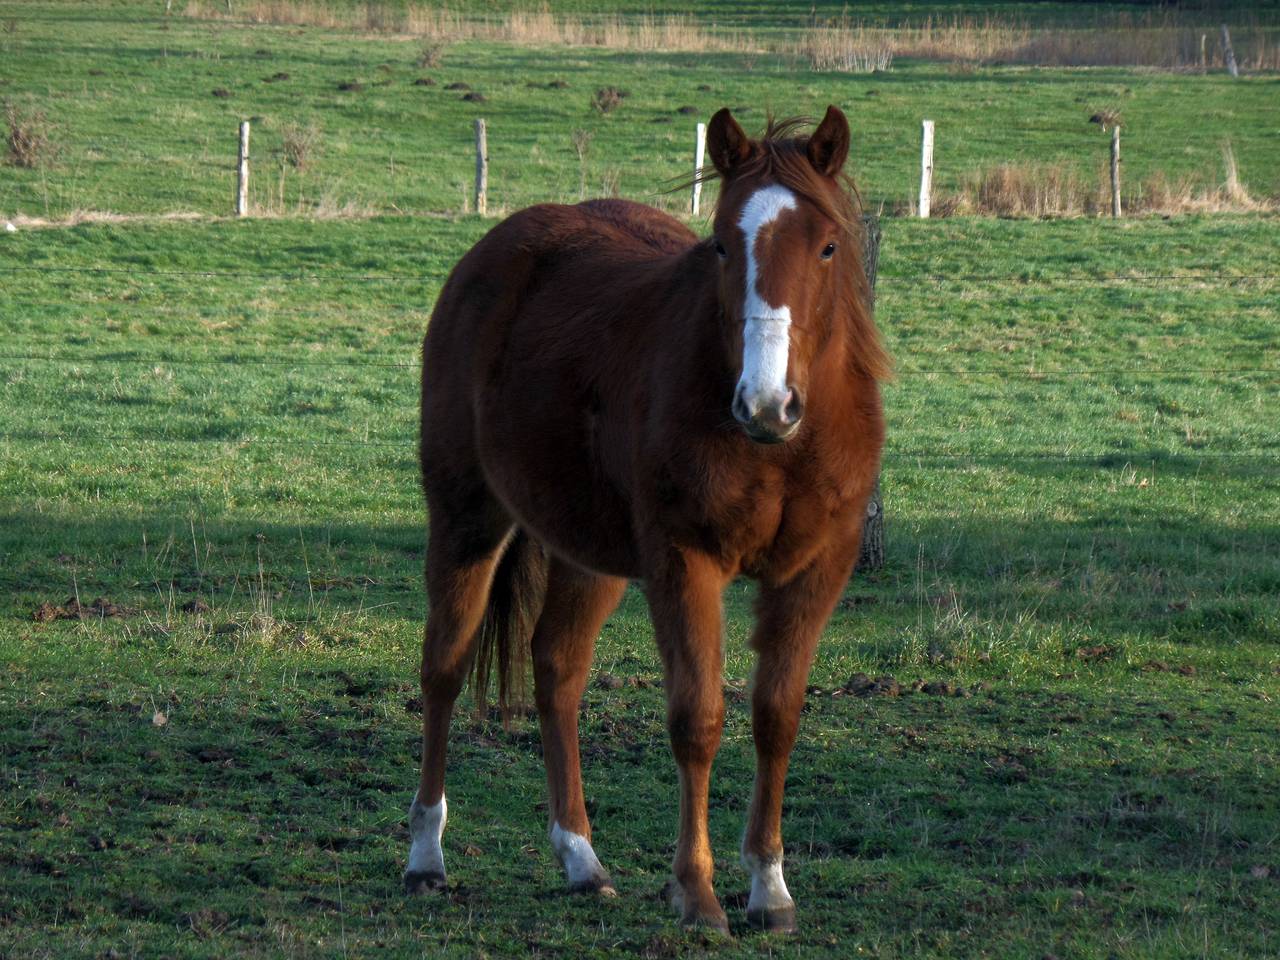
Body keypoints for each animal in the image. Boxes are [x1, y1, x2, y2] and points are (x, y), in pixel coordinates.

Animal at [405, 105, 889, 934]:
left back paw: (581, 861)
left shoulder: (816, 569)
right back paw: (426, 856)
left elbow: (776, 717)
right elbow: (697, 719)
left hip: (588, 551)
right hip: (468, 515)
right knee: (445, 666)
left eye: (827, 245)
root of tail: (497, 249)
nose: (767, 403)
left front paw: (770, 888)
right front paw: (696, 893)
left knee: (557, 669)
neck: (778, 446)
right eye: (722, 241)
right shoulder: (683, 561)